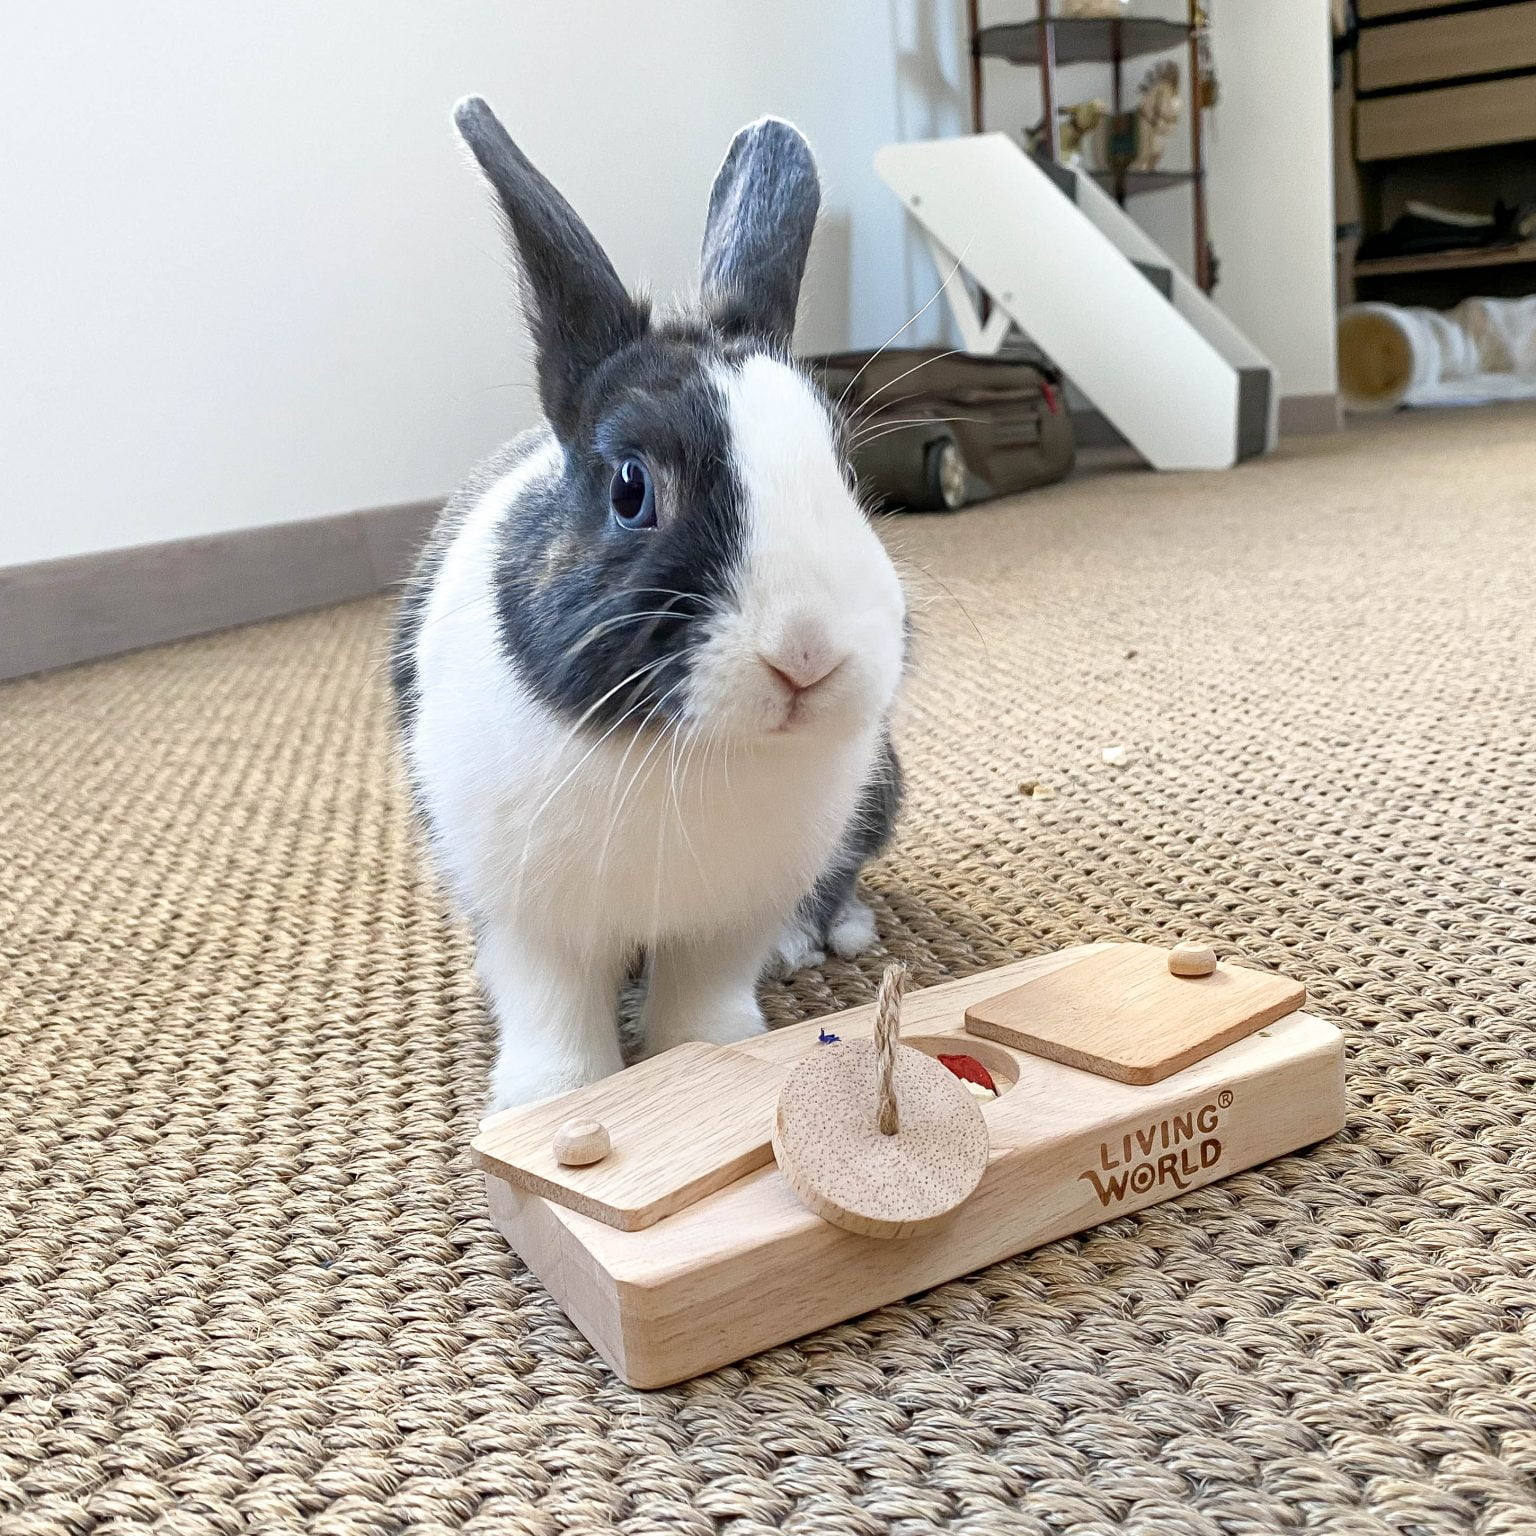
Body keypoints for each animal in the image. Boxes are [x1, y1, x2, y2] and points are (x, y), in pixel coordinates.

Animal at [393, 97, 907, 1110]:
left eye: (843, 470)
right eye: (632, 488)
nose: (807, 652)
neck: (671, 751)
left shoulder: (729, 917)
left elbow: (701, 1003)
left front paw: (712, 1061)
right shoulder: (530, 922)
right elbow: (553, 1008)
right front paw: (550, 1101)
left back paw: (826, 937)